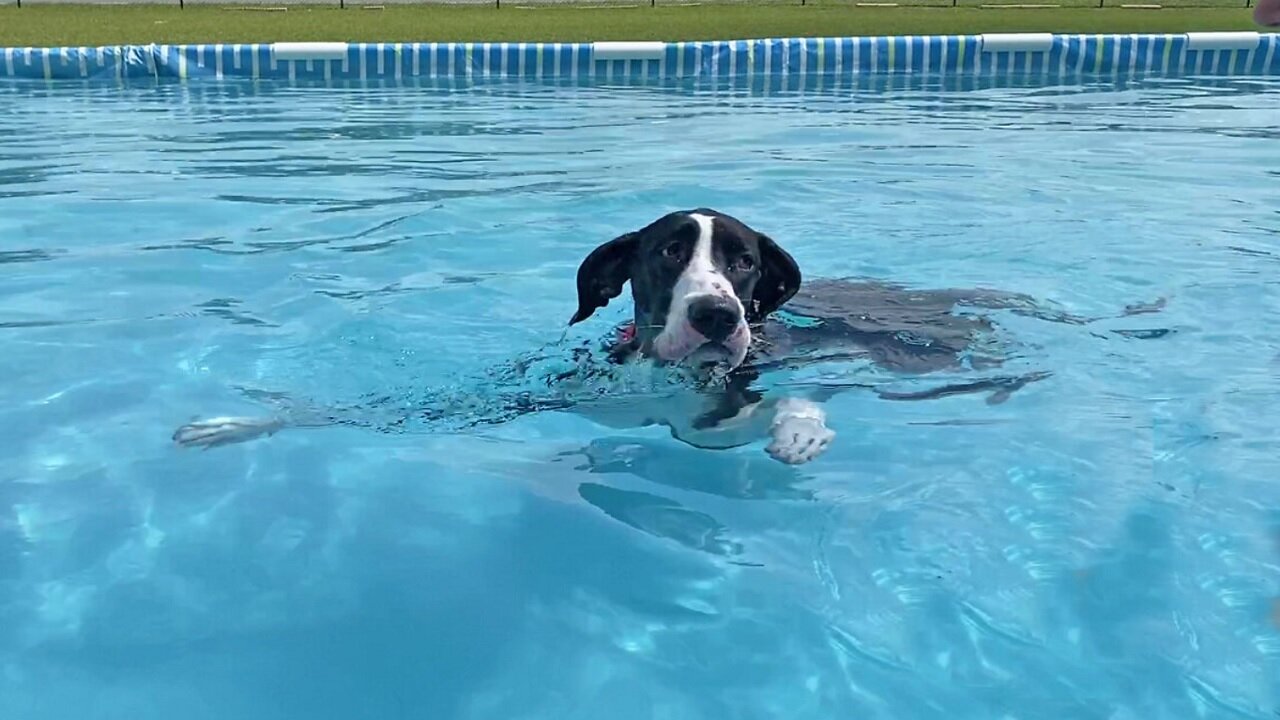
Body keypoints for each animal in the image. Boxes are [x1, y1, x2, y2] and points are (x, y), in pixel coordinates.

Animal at [170, 207, 1162, 466]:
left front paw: (797, 428)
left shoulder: (730, 395)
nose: (720, 314)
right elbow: (346, 413)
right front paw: (227, 426)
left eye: (746, 262)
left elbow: (775, 408)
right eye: (666, 252)